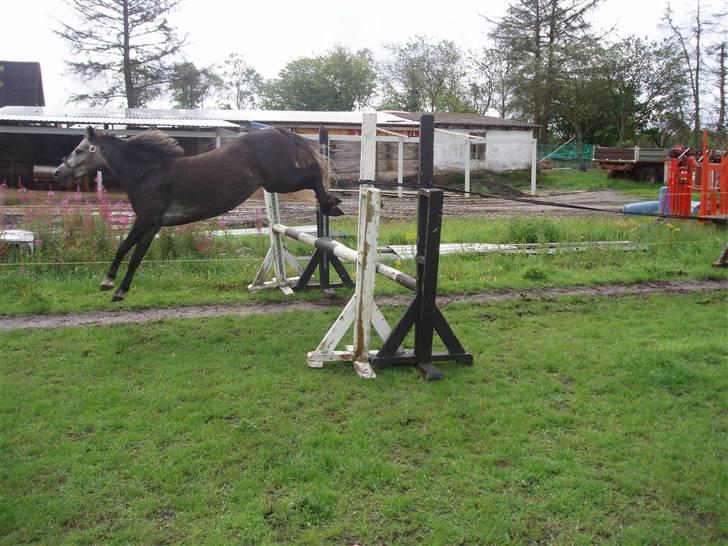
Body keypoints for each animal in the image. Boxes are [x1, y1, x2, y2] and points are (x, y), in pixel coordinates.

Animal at [54, 126, 343, 302]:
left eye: (79, 150)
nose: (58, 172)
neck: (148, 173)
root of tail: (277, 131)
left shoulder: (147, 221)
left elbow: (128, 252)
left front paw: (114, 287)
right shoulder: (151, 225)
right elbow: (129, 252)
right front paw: (114, 285)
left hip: (280, 179)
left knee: (313, 174)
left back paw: (331, 203)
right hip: (275, 183)